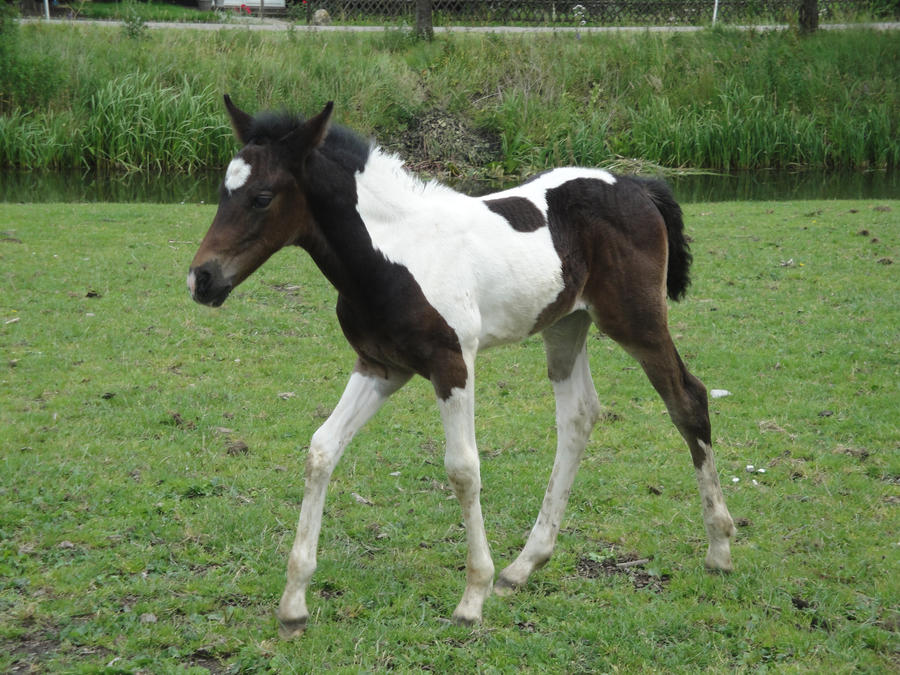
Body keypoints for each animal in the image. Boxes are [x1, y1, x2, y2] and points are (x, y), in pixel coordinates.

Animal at [186, 96, 736, 640]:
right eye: (222, 192)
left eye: (262, 197)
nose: (201, 280)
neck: (394, 255)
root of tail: (636, 185)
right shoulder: (379, 367)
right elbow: (322, 449)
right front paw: (294, 604)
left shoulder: (452, 364)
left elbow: (463, 469)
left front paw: (472, 598)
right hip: (565, 326)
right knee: (579, 416)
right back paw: (524, 565)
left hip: (636, 321)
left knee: (687, 399)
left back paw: (720, 547)